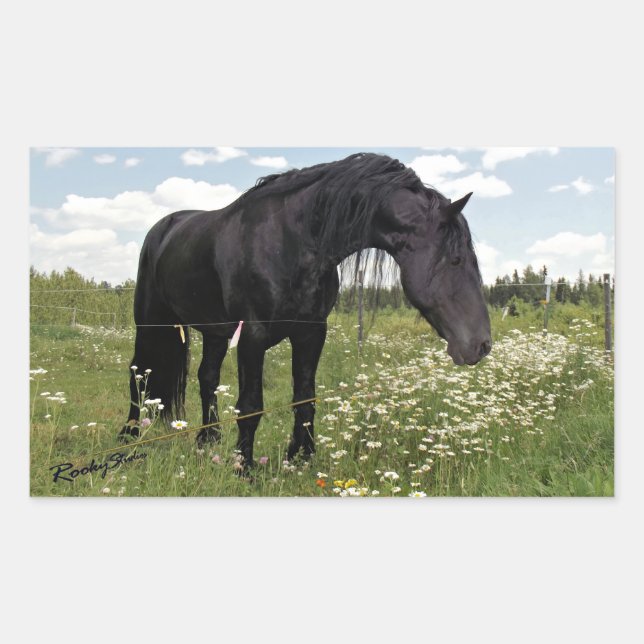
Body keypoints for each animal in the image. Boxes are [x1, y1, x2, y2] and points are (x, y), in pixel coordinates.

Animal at [119, 153, 491, 467]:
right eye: (456, 259)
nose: (482, 345)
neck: (291, 241)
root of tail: (163, 227)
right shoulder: (252, 336)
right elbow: (251, 405)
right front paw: (244, 467)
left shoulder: (311, 332)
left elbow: (305, 397)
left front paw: (301, 457)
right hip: (150, 322)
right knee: (138, 371)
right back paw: (130, 436)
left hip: (215, 332)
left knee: (206, 377)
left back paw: (208, 439)